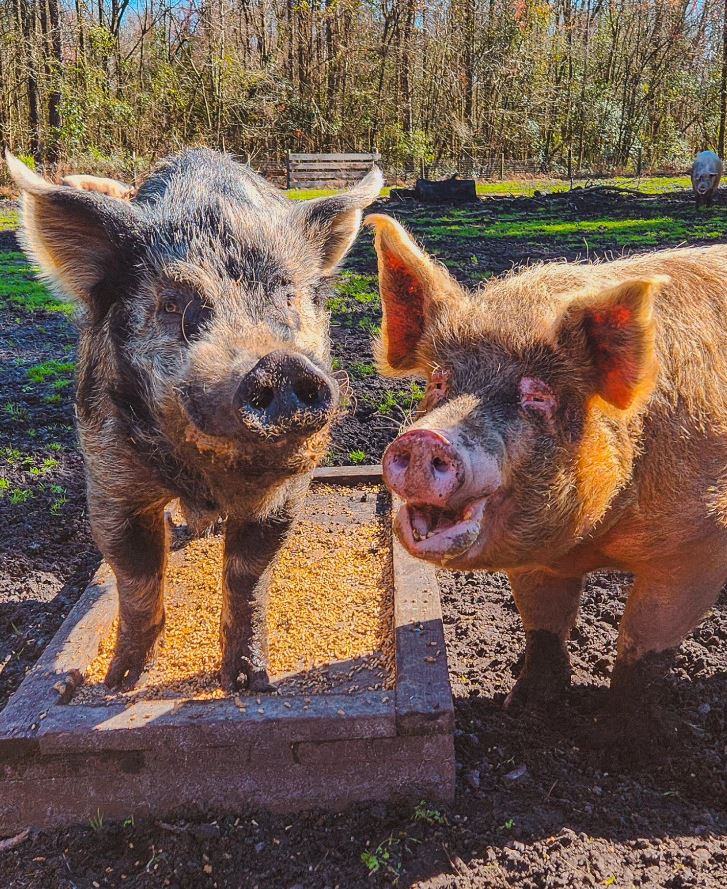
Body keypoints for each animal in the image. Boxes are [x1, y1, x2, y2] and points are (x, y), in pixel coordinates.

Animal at [6, 148, 382, 692]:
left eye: (288, 295)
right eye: (172, 303)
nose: (277, 364)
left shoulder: (288, 493)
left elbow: (248, 576)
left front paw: (248, 682)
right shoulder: (108, 476)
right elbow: (136, 577)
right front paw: (120, 682)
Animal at [367, 213, 727, 741]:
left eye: (537, 396)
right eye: (438, 381)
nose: (425, 440)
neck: (594, 541)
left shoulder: (699, 547)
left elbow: (642, 648)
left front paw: (626, 743)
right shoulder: (531, 558)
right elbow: (542, 627)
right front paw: (522, 709)